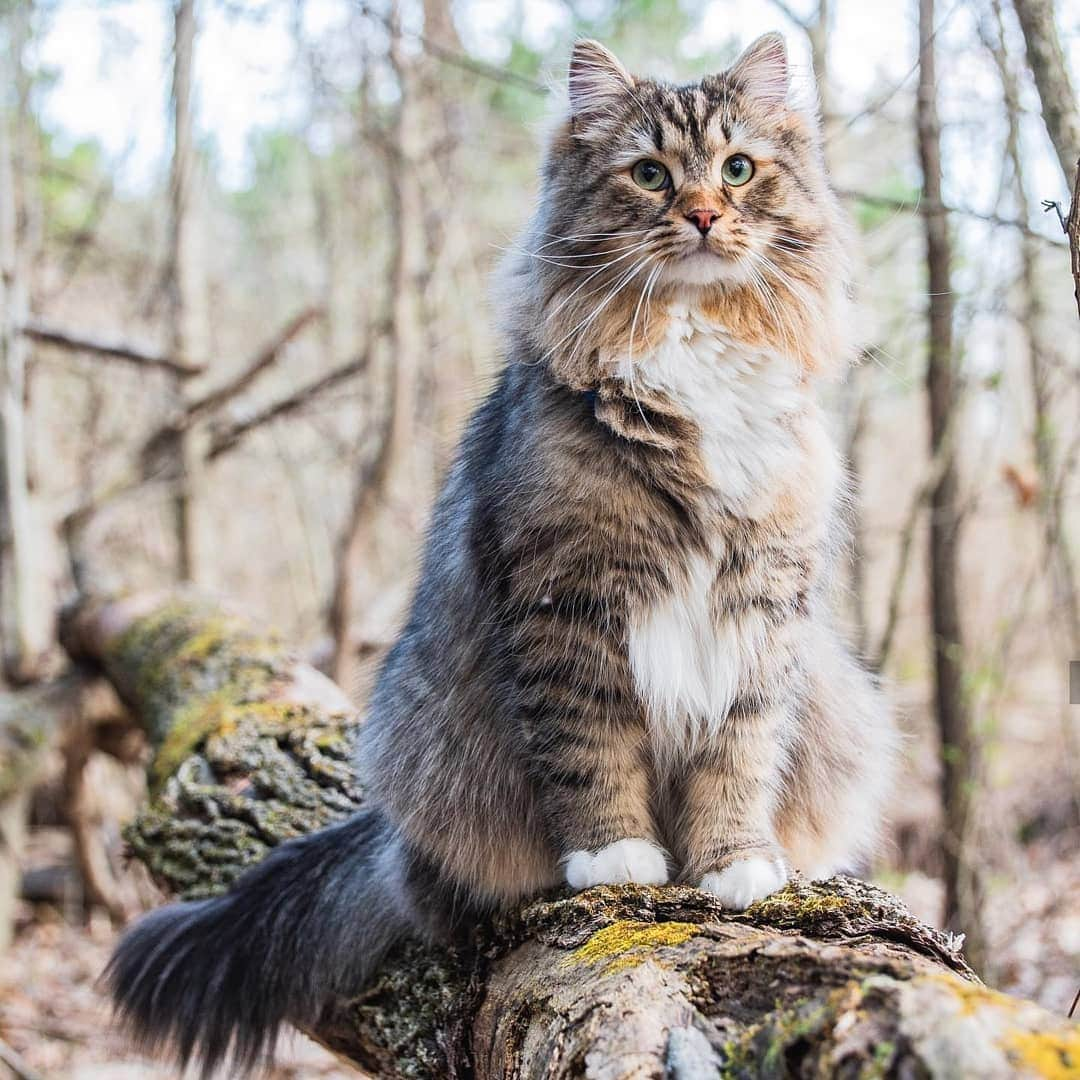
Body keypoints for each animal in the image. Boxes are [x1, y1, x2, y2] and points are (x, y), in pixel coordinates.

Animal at [105, 31, 898, 1071]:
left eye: (737, 169)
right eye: (650, 174)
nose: (701, 213)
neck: (694, 352)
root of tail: (388, 838)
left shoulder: (762, 607)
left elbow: (739, 752)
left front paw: (734, 864)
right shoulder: (567, 598)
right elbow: (592, 748)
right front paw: (617, 857)